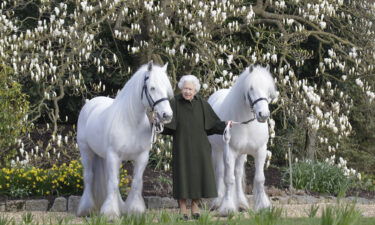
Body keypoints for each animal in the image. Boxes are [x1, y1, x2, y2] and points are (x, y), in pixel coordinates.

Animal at [78, 60, 175, 219]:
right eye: (152, 87)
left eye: (167, 89)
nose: (167, 115)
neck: (131, 122)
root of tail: (91, 103)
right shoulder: (114, 156)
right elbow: (113, 182)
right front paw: (110, 213)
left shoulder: (142, 157)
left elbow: (136, 182)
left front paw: (134, 210)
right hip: (86, 152)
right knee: (89, 177)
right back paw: (86, 209)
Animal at [210, 64, 278, 214]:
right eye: (251, 88)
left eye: (268, 89)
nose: (263, 115)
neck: (246, 124)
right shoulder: (229, 152)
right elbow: (229, 179)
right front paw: (227, 208)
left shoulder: (260, 151)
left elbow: (259, 179)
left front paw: (263, 206)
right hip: (217, 150)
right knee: (220, 172)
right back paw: (217, 202)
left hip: (241, 154)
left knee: (238, 173)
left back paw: (241, 203)